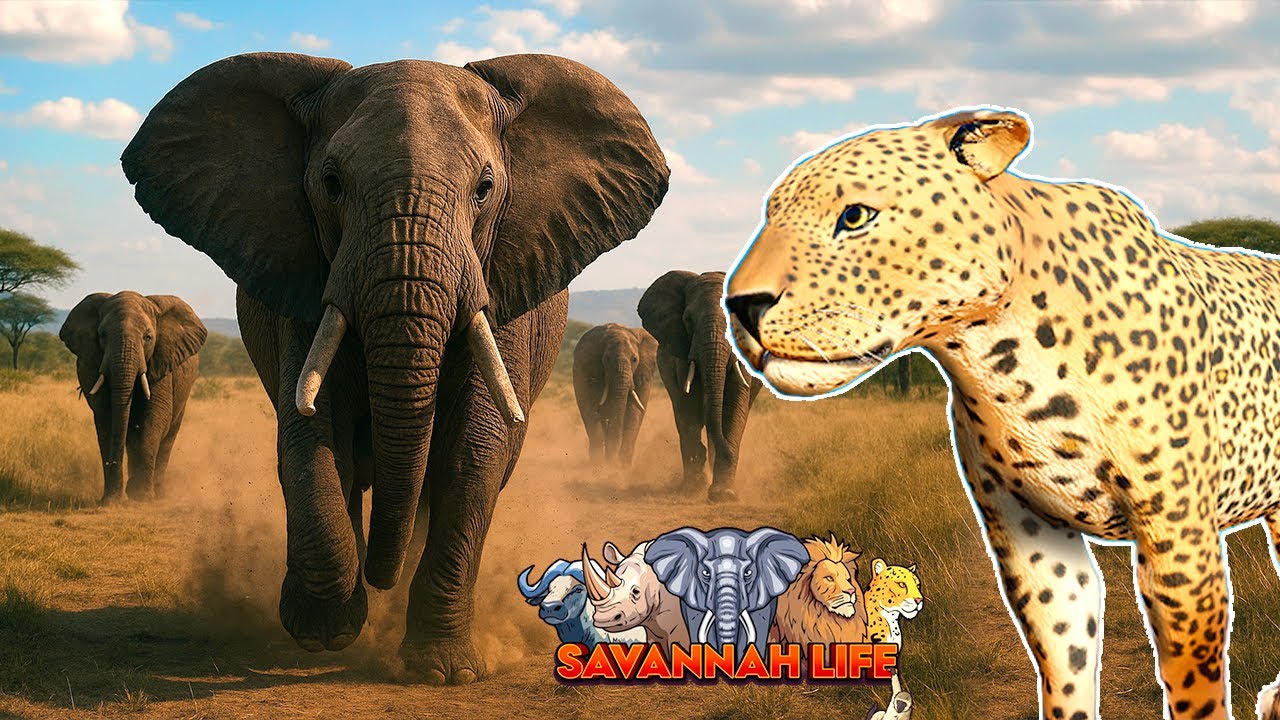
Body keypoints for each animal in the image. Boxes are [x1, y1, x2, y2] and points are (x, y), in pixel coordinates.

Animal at [59, 291, 207, 503]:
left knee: (168, 436)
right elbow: (107, 419)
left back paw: (158, 493)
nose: (118, 495)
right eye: (102, 335)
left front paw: (141, 496)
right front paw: (111, 500)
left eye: (148, 337)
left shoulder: (161, 363)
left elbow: (153, 419)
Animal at [571, 323, 657, 466]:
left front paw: (622, 466)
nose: (613, 461)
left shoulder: (643, 372)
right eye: (606, 359)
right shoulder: (589, 369)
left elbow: (635, 411)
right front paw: (601, 464)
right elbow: (589, 406)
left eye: (634, 359)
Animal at [637, 270, 762, 501]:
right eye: (688, 320)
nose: (727, 453)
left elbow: (734, 407)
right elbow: (689, 408)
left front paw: (723, 494)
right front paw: (695, 489)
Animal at [725, 106, 1280, 720]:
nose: (739, 305)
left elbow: (1192, 684)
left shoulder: (1178, 536)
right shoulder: (1032, 540)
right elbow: (1065, 665)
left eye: (855, 216)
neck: (999, 358)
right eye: (771, 217)